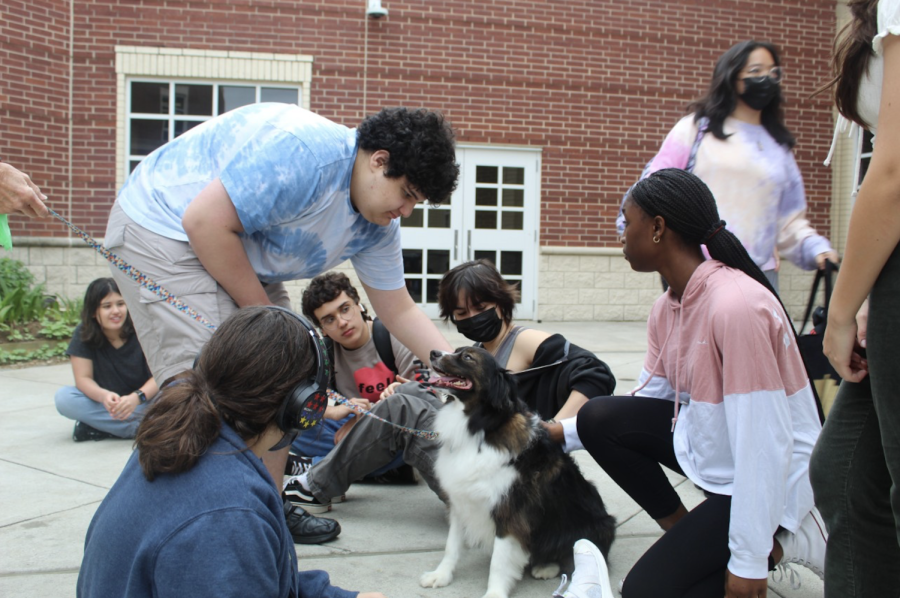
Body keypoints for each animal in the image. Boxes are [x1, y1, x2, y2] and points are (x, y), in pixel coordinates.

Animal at [418, 346, 616, 598]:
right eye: (455, 351)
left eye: (468, 357)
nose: (433, 352)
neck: (480, 428)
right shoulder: (460, 501)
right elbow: (451, 546)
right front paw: (441, 575)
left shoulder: (511, 512)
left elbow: (499, 561)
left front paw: (494, 593)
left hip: (594, 526)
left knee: (569, 554)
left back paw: (547, 567)